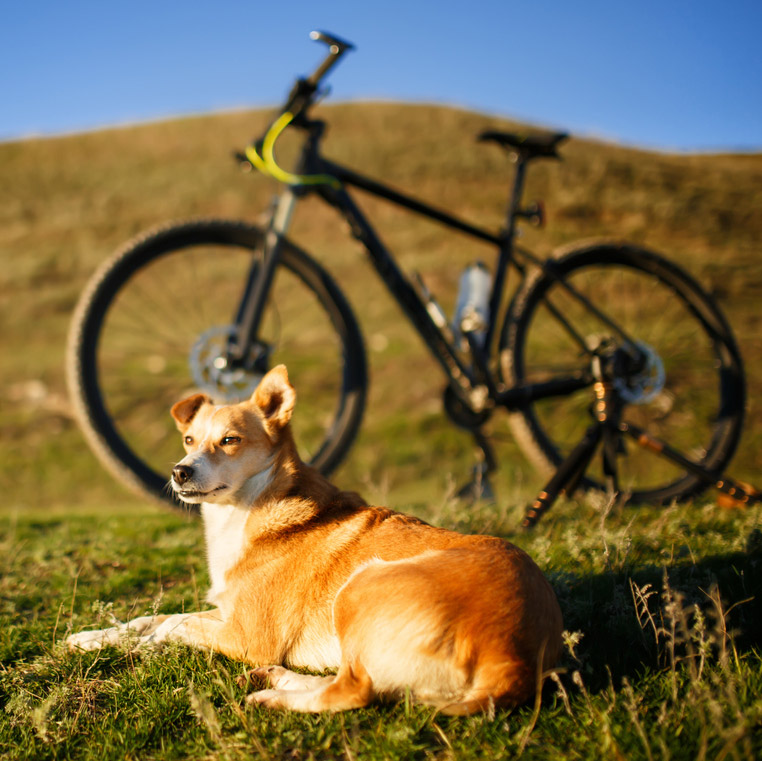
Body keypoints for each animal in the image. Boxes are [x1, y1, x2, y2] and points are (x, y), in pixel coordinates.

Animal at [65, 366, 560, 716]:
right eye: (189, 439)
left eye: (229, 440)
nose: (179, 472)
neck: (246, 514)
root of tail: (512, 658)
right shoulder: (227, 615)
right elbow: (156, 618)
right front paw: (93, 637)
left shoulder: (246, 637)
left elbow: (169, 627)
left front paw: (140, 647)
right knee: (355, 682)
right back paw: (277, 680)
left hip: (359, 587)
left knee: (353, 693)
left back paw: (277, 698)